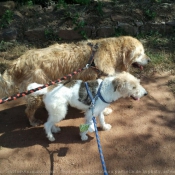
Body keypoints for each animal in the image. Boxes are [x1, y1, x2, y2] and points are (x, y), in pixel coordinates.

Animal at [0, 36, 150, 126]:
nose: (149, 60)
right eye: (140, 53)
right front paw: (106, 110)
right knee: (28, 110)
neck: (113, 52)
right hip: (35, 88)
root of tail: (19, 61)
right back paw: (33, 121)